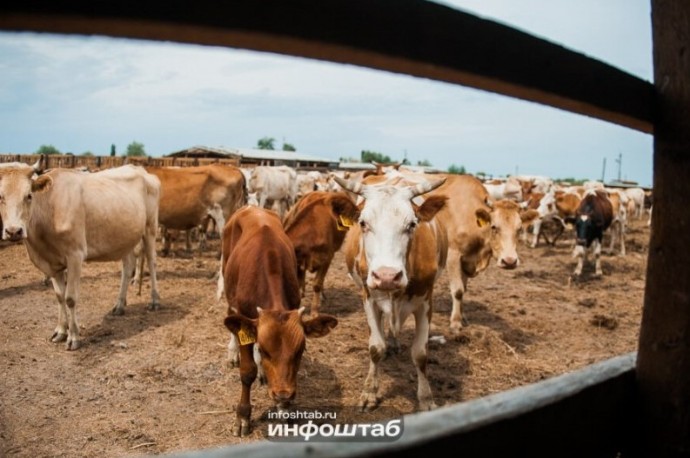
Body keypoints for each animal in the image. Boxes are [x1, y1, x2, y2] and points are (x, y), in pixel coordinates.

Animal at [0, 163, 161, 348]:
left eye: (28, 195)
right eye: (0, 196)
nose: (13, 231)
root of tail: (139, 169)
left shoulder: (75, 256)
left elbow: (70, 298)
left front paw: (73, 337)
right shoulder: (52, 263)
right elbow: (59, 296)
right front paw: (60, 331)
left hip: (150, 227)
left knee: (152, 261)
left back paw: (155, 300)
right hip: (125, 236)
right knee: (127, 268)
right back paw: (120, 305)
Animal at [220, 205, 336, 436]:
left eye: (300, 351)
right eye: (266, 351)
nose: (283, 394)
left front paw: (283, 410)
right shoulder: (243, 317)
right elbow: (247, 372)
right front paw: (243, 416)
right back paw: (233, 353)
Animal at [334, 174, 446, 412]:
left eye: (412, 224)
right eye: (363, 223)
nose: (387, 276)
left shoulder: (426, 301)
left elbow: (420, 354)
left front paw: (426, 398)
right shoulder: (368, 298)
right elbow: (376, 348)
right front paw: (369, 392)